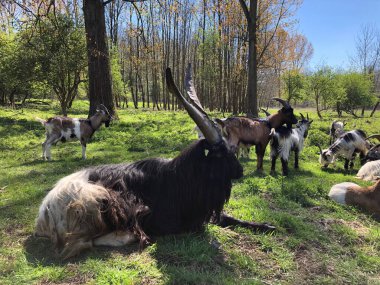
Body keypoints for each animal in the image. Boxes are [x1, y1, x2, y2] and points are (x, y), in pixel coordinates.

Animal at [35, 65, 274, 258]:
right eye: (221, 153)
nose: (240, 171)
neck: (179, 179)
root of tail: (45, 210)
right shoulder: (170, 222)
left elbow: (232, 219)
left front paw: (268, 226)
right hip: (97, 198)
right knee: (85, 241)